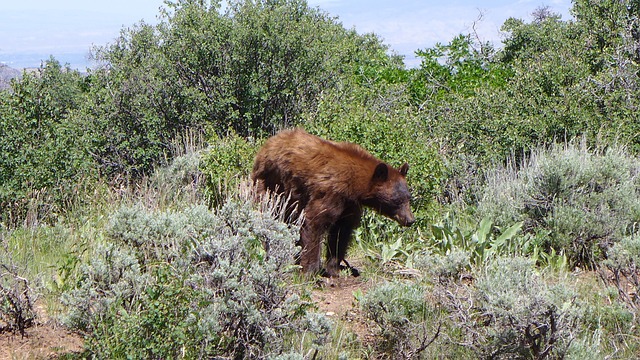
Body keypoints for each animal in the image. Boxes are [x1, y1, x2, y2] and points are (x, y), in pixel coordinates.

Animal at [251, 129, 416, 276]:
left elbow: (341, 231)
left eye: (408, 197)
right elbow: (314, 222)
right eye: (397, 200)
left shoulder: (349, 203)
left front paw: (334, 268)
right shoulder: (330, 193)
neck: (354, 183)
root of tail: (268, 143)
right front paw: (310, 270)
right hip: (271, 184)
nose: (410, 220)